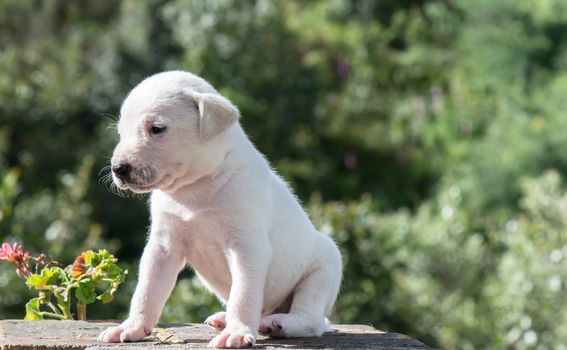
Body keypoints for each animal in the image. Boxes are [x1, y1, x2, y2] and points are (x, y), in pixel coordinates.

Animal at [98, 70, 342, 348]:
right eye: (120, 131)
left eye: (157, 129)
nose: (118, 168)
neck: (194, 188)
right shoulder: (163, 247)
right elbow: (147, 290)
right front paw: (132, 327)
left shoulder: (246, 247)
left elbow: (243, 294)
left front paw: (236, 333)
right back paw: (226, 318)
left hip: (324, 269)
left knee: (311, 319)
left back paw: (279, 323)